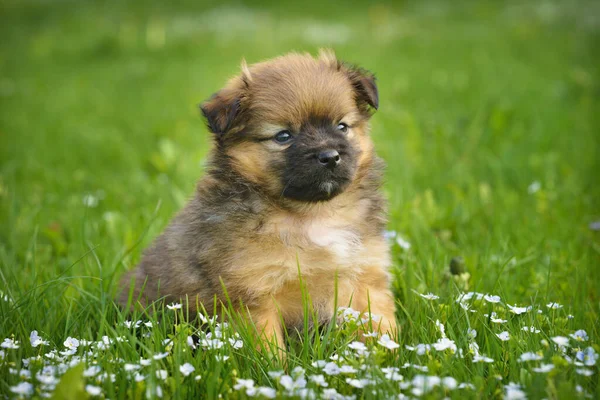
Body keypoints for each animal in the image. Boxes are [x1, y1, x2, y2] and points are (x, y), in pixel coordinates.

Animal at [119, 49, 396, 350]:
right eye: (283, 136)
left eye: (342, 126)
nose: (330, 156)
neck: (312, 214)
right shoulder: (253, 296)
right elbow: (267, 348)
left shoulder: (366, 276)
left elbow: (381, 326)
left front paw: (391, 357)